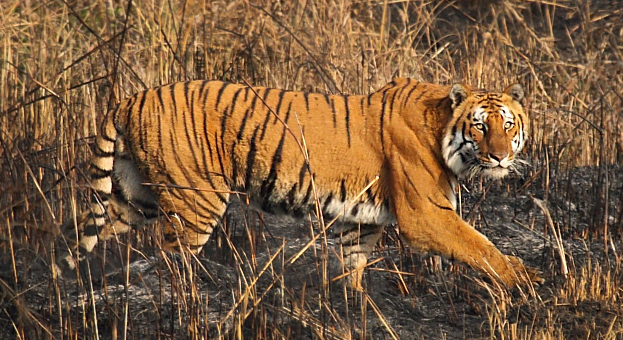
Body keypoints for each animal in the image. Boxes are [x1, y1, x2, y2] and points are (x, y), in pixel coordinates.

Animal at [58, 78, 544, 288]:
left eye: (508, 124)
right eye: (480, 126)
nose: (500, 155)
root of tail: (129, 98)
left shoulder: (362, 220)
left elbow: (353, 265)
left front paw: (354, 304)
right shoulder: (427, 215)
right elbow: (480, 246)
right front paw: (524, 279)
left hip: (134, 196)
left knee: (87, 231)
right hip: (196, 200)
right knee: (172, 258)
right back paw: (195, 298)